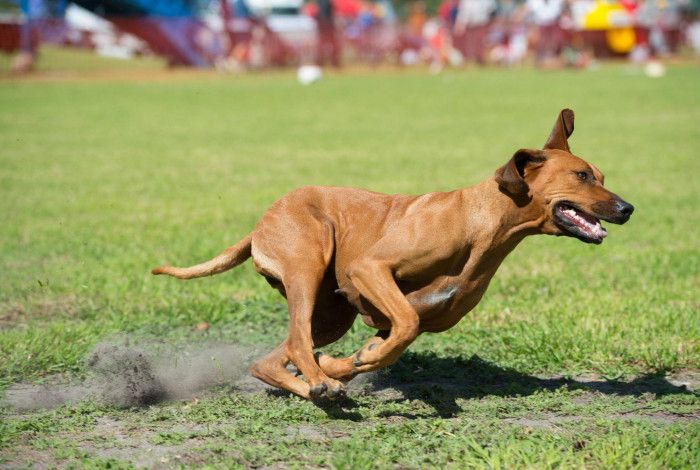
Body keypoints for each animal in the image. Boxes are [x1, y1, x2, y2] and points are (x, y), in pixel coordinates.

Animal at [153, 109, 636, 400]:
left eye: (601, 176)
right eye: (581, 176)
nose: (627, 209)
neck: (486, 222)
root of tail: (258, 225)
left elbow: (389, 343)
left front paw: (346, 365)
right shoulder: (370, 270)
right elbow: (404, 326)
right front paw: (351, 364)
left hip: (330, 315)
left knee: (274, 357)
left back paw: (318, 384)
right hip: (308, 265)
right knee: (296, 341)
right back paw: (320, 383)